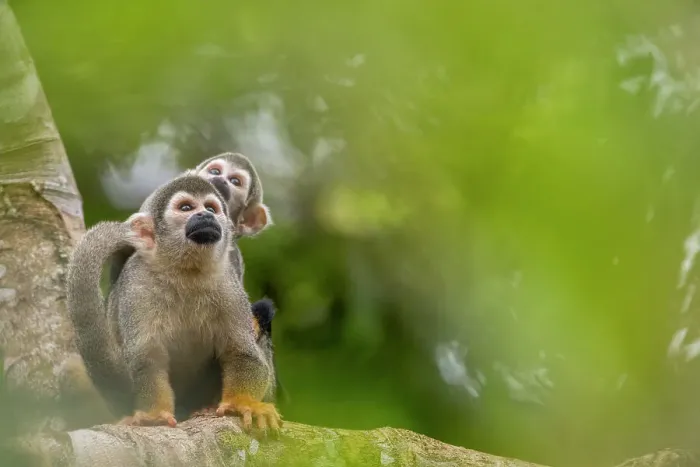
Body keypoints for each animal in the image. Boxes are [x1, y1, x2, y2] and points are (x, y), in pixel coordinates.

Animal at [67, 174, 281, 432]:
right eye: (186, 208)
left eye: (211, 208)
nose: (206, 215)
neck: (185, 272)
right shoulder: (137, 284)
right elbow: (148, 358)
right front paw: (155, 413)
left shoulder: (227, 283)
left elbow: (241, 350)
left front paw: (244, 403)